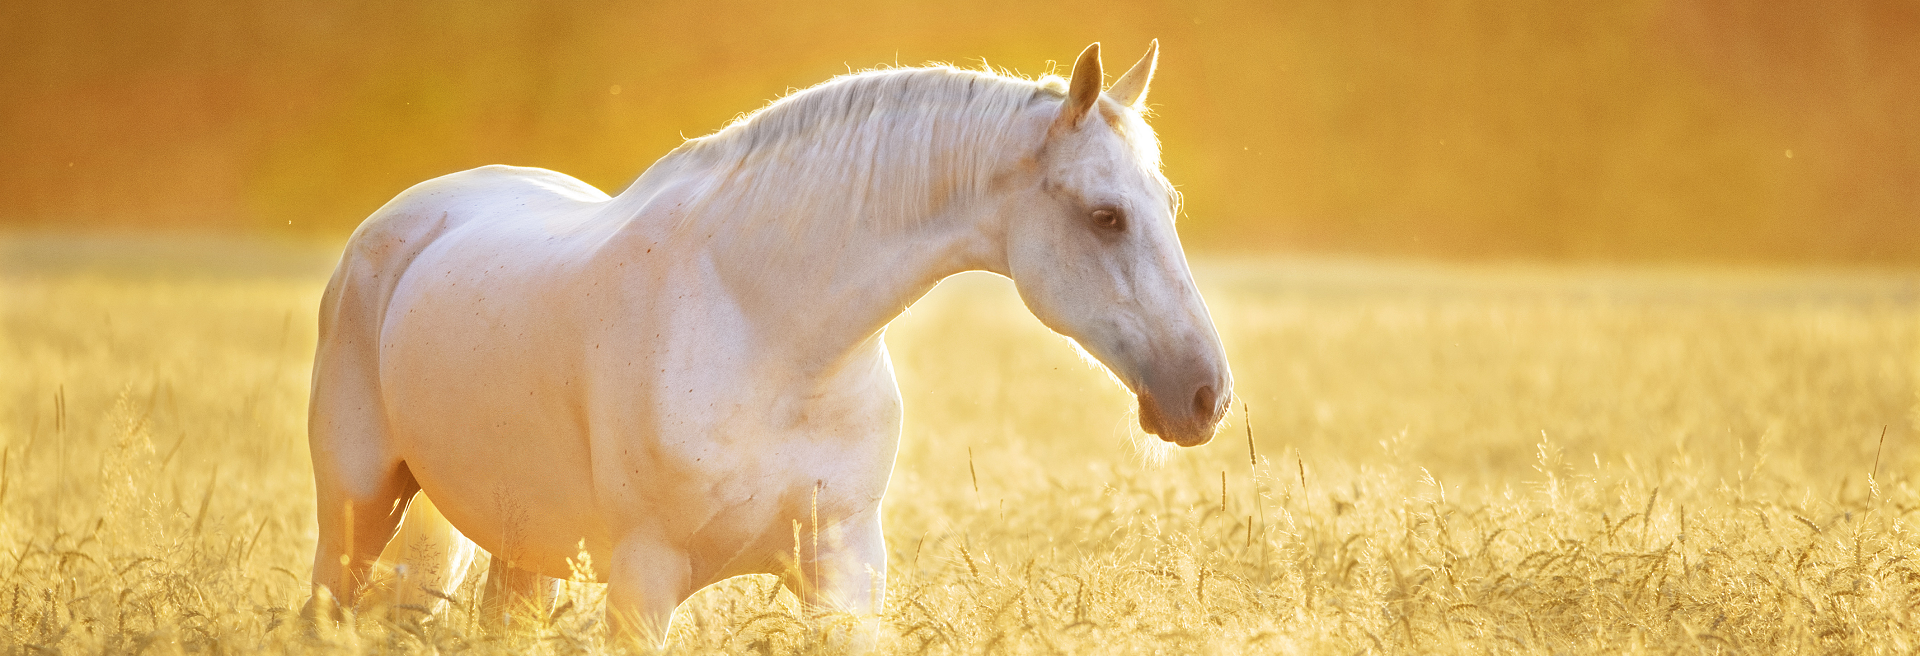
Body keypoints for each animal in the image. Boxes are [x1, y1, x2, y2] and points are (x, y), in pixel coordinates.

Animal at [305, 40, 1232, 641]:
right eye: (1106, 216)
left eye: (1168, 205)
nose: (1206, 395)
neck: (769, 334)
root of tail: (396, 224)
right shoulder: (643, 582)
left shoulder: (843, 572)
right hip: (357, 516)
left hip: (521, 549)